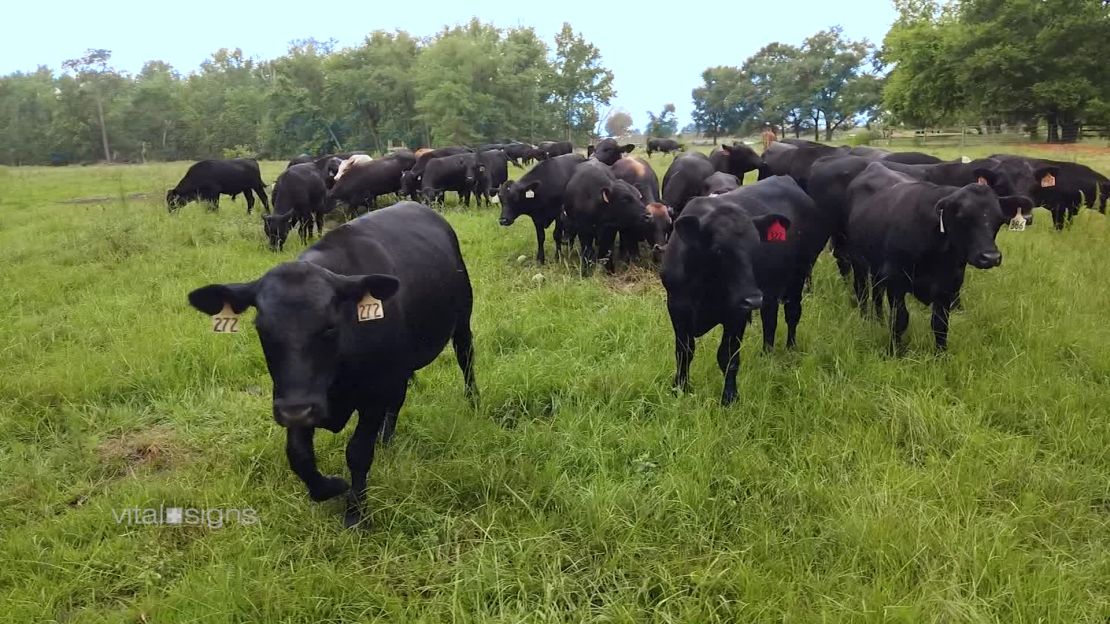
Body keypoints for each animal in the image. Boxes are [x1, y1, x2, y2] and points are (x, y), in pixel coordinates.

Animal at [657, 173, 825, 404]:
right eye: (718, 249)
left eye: (755, 245)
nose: (752, 299)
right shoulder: (677, 307)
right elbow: (684, 351)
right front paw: (680, 388)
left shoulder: (736, 313)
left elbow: (728, 356)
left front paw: (729, 398)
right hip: (769, 290)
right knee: (769, 318)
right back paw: (766, 353)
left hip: (799, 274)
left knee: (792, 313)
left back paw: (790, 348)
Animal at [848, 163, 1030, 353]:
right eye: (962, 217)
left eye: (999, 219)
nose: (990, 257)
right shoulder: (895, 282)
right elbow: (900, 320)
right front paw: (896, 352)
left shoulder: (948, 286)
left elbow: (940, 324)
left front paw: (941, 354)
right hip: (858, 261)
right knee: (862, 291)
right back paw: (865, 320)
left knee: (876, 293)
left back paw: (879, 321)